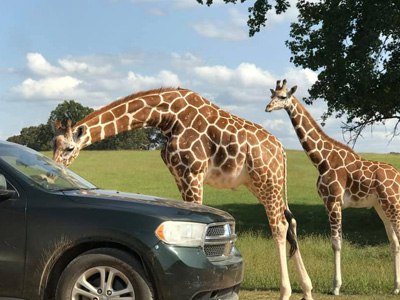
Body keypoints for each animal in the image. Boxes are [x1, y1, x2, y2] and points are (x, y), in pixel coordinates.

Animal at [53, 86, 314, 300]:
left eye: (69, 148)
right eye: (53, 145)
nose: (55, 167)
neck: (166, 117)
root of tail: (282, 150)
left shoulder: (193, 172)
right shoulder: (179, 174)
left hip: (267, 180)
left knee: (279, 226)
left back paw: (285, 292)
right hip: (264, 184)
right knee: (291, 222)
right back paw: (307, 290)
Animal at [268, 79, 400, 296]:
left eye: (283, 96)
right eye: (271, 95)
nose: (268, 107)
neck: (322, 160)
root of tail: (398, 176)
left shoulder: (333, 201)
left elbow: (336, 244)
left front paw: (336, 287)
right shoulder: (329, 203)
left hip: (393, 203)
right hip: (381, 206)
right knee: (394, 242)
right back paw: (396, 287)